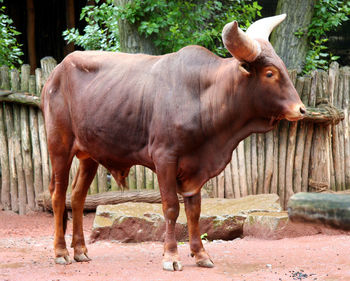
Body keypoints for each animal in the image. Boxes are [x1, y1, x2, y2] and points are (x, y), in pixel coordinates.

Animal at [40, 14, 304, 270]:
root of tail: (56, 72)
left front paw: (200, 254)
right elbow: (171, 208)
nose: (300, 109)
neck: (201, 96)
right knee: (58, 195)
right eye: (269, 73)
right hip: (59, 146)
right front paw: (171, 255)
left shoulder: (195, 168)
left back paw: (80, 250)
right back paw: (61, 252)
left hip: (89, 154)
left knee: (77, 196)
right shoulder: (164, 158)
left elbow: (194, 211)